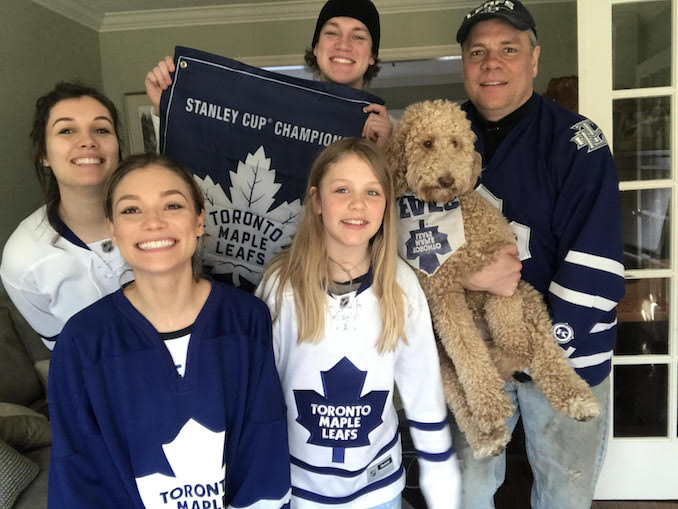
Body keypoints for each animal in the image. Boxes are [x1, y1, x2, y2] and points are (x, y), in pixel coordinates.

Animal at [388, 101, 600, 458]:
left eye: (456, 143)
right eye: (427, 142)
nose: (448, 178)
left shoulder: (502, 275)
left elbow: (513, 345)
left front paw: (497, 371)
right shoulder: (443, 295)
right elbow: (468, 352)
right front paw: (490, 407)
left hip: (529, 301)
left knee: (541, 352)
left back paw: (576, 398)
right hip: (437, 351)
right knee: (458, 390)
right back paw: (488, 435)